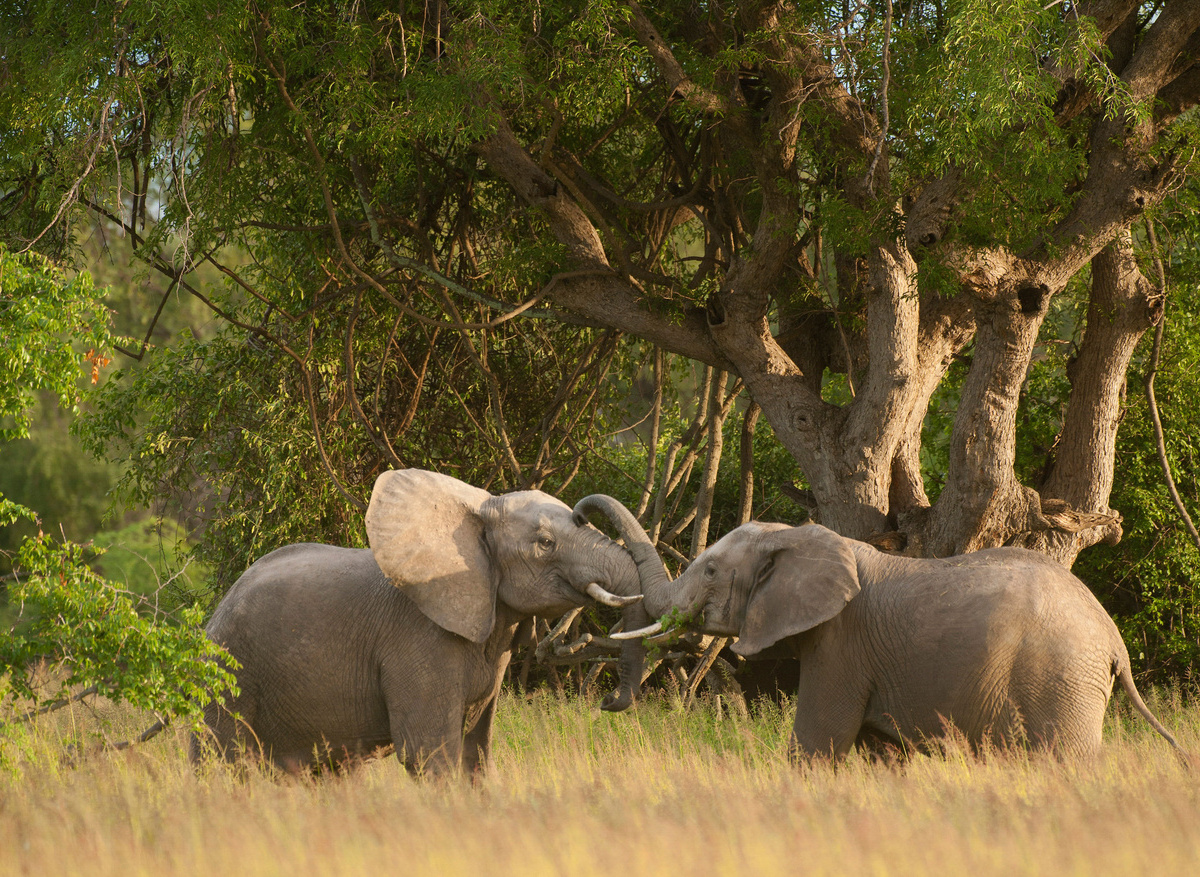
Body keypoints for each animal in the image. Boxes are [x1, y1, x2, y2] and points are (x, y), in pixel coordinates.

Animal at [191, 469, 651, 776]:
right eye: (545, 543)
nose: (608, 700)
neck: (477, 514)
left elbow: (475, 753)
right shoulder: (418, 639)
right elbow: (429, 754)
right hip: (225, 675)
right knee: (222, 765)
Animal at [574, 495, 1183, 762]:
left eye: (708, 571)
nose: (604, 701)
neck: (799, 536)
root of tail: (1113, 640)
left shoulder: (842, 644)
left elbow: (817, 742)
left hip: (1060, 679)